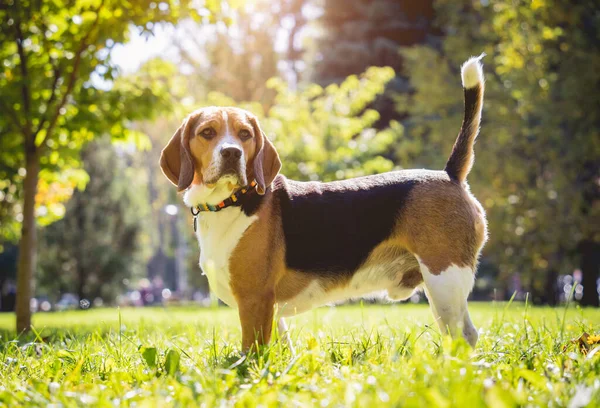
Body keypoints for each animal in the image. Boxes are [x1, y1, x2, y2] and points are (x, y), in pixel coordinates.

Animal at [161, 56, 488, 350]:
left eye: (245, 134)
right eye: (207, 133)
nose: (231, 153)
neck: (231, 201)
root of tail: (449, 174)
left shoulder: (255, 298)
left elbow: (252, 351)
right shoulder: (271, 308)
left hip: (445, 279)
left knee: (466, 335)